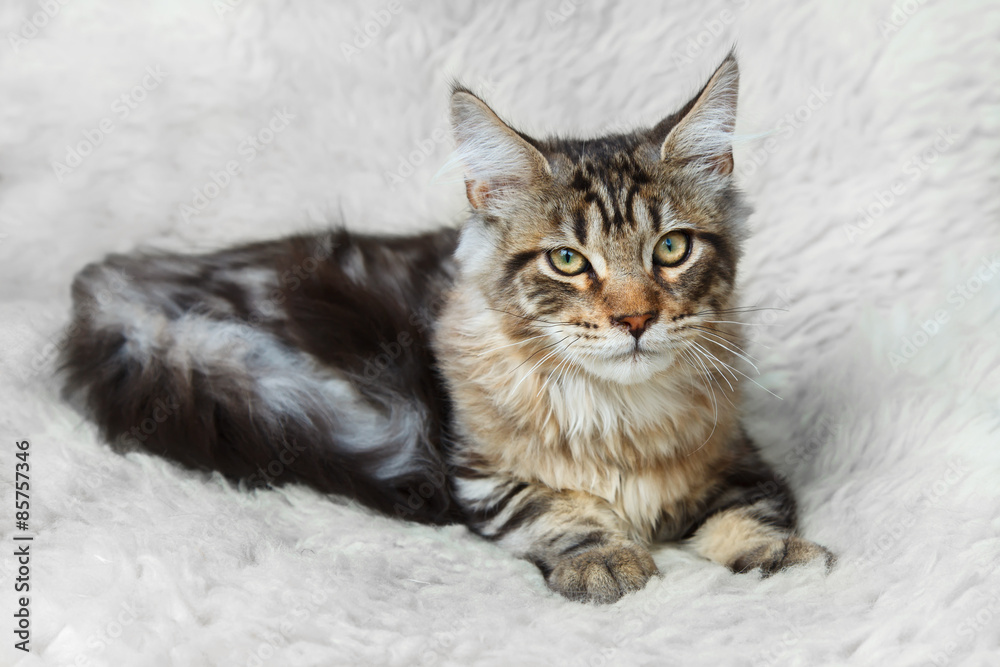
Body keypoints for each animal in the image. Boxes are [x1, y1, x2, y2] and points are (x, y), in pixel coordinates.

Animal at [58, 52, 832, 604]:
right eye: (567, 260)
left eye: (671, 249)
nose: (635, 318)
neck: (619, 417)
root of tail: (120, 280)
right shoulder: (481, 474)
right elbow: (556, 510)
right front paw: (606, 557)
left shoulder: (741, 458)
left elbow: (752, 513)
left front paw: (780, 556)